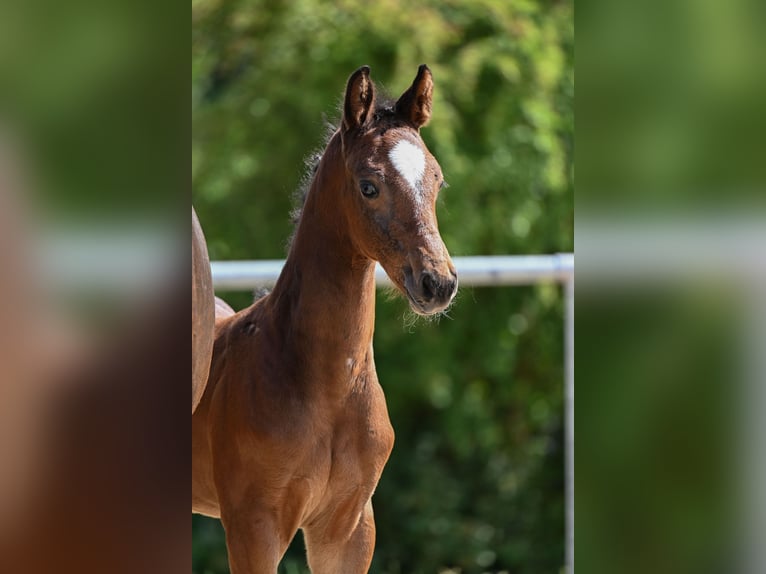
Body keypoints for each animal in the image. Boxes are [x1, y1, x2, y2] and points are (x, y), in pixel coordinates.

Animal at [192, 64, 457, 573]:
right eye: (369, 185)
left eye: (437, 182)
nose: (438, 282)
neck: (330, 390)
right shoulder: (253, 526)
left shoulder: (349, 527)